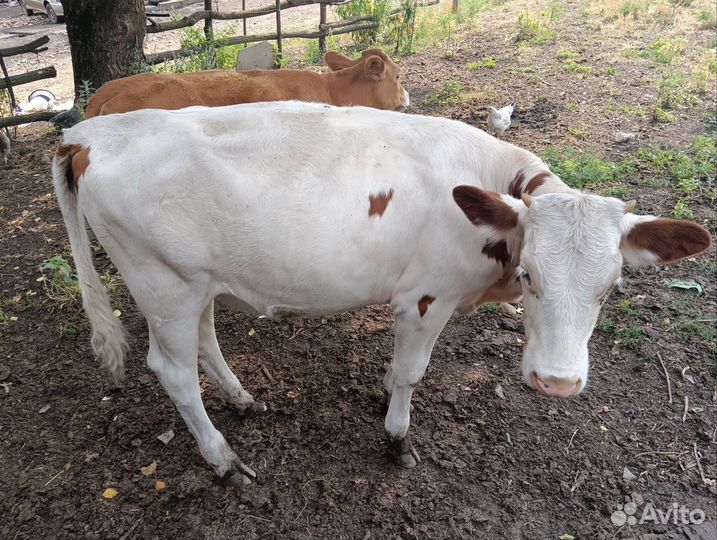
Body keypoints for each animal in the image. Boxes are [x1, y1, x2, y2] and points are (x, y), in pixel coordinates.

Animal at [52, 102, 712, 486]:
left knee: (205, 340)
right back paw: (224, 461)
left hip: (197, 280)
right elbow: (412, 374)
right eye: (529, 275)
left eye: (612, 286)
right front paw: (397, 439)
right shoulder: (426, 296)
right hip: (162, 282)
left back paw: (242, 400)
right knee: (173, 370)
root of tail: (88, 133)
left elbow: (396, 368)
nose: (558, 383)